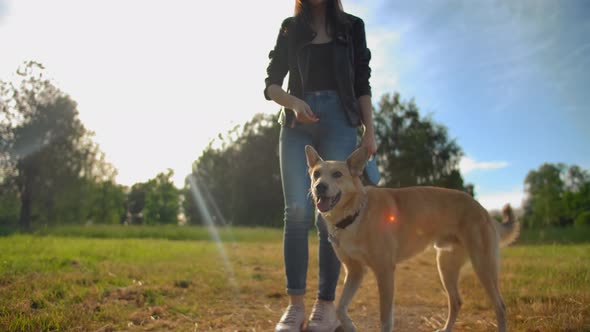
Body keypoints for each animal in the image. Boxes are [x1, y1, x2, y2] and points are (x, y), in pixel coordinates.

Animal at [308, 145, 520, 332]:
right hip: (446, 267)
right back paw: (445, 328)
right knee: (456, 302)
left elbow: (385, 318)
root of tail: (482, 209)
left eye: (337, 174)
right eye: (316, 174)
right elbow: (339, 307)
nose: (320, 187)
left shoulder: (384, 271)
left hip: (483, 267)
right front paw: (350, 326)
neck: (356, 214)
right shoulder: (355, 271)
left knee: (500, 307)